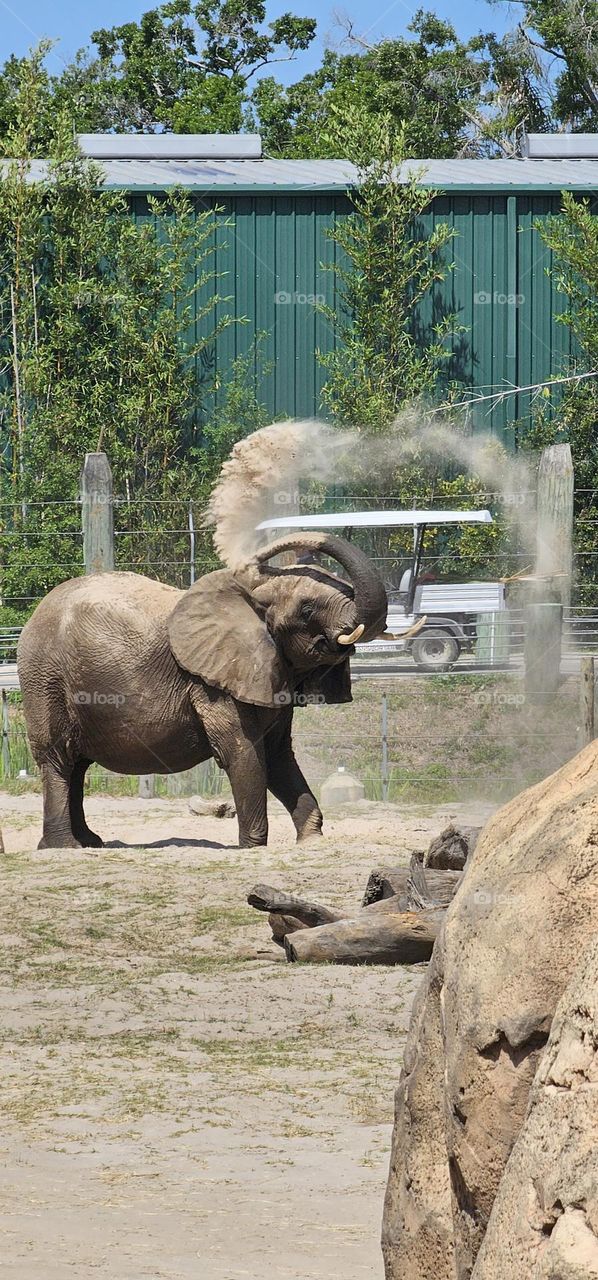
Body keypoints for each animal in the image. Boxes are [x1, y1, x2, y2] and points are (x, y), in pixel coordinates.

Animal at [17, 531, 388, 850]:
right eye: (308, 610)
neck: (253, 592)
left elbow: (279, 755)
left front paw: (311, 841)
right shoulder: (211, 684)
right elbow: (242, 752)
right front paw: (253, 847)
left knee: (77, 765)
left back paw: (89, 843)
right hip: (44, 678)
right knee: (58, 759)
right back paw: (64, 846)